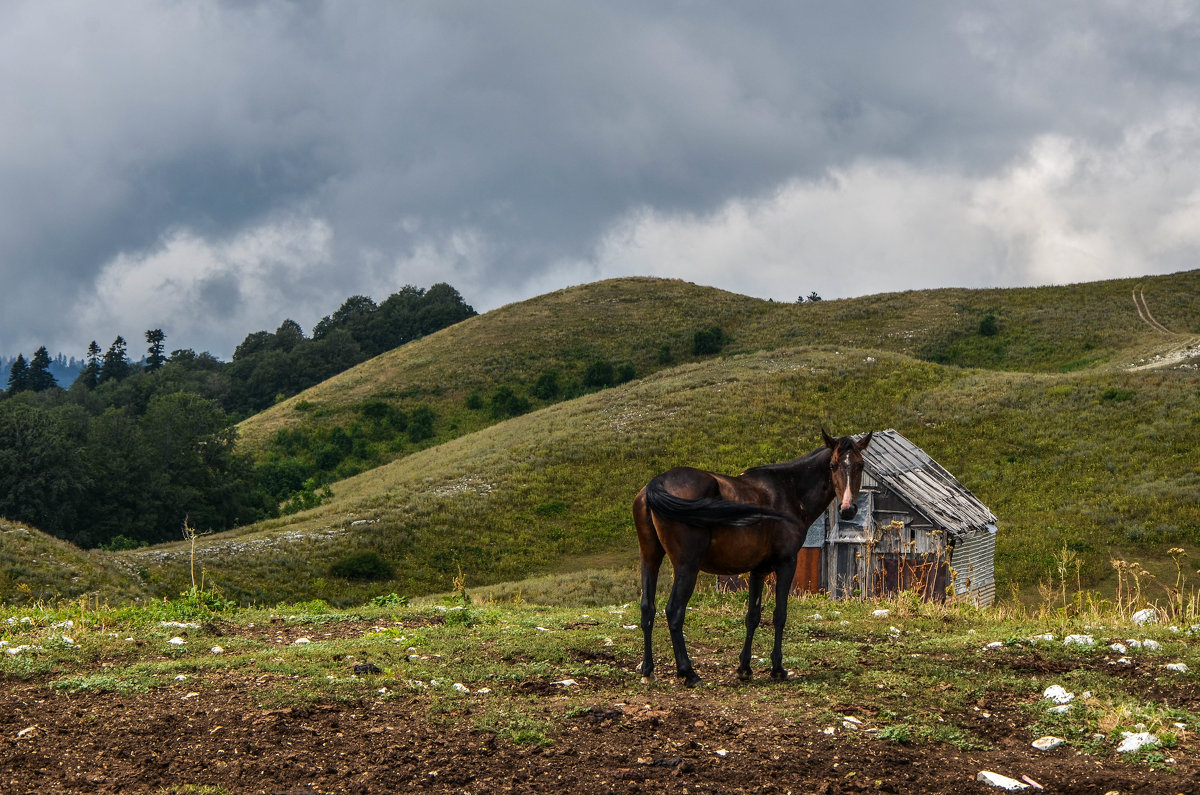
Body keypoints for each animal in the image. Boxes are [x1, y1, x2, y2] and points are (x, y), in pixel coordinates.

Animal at [633, 429, 878, 686]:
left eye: (860, 465)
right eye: (833, 465)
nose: (848, 509)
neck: (789, 491)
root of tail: (656, 483)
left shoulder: (758, 570)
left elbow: (753, 616)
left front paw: (744, 667)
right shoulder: (786, 564)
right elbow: (779, 615)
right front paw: (777, 668)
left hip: (650, 559)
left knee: (647, 608)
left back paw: (648, 669)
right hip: (686, 567)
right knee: (674, 612)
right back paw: (688, 672)